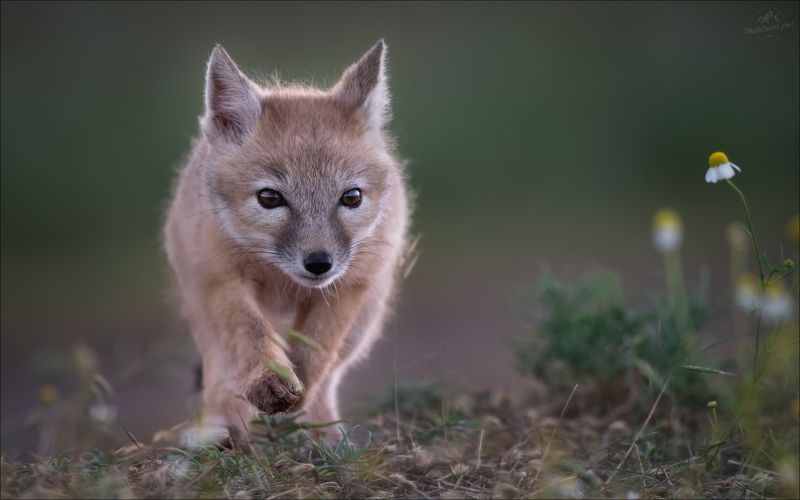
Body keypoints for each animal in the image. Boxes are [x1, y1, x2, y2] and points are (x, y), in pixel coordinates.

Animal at [163, 40, 412, 443]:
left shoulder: (348, 285)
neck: (280, 278)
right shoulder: (222, 280)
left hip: (364, 322)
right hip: (203, 314)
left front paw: (299, 394)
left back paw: (324, 435)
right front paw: (269, 380)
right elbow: (251, 334)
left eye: (352, 197)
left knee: (329, 377)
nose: (319, 263)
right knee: (220, 375)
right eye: (270, 198)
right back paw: (224, 432)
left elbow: (315, 351)